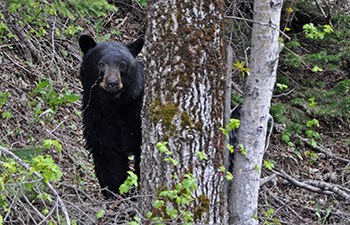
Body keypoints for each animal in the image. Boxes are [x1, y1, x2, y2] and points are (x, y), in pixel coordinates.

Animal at [78, 34, 144, 198]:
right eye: (101, 63)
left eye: (122, 65)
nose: (112, 83)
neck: (115, 104)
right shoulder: (97, 113)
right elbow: (107, 150)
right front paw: (115, 191)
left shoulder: (136, 113)